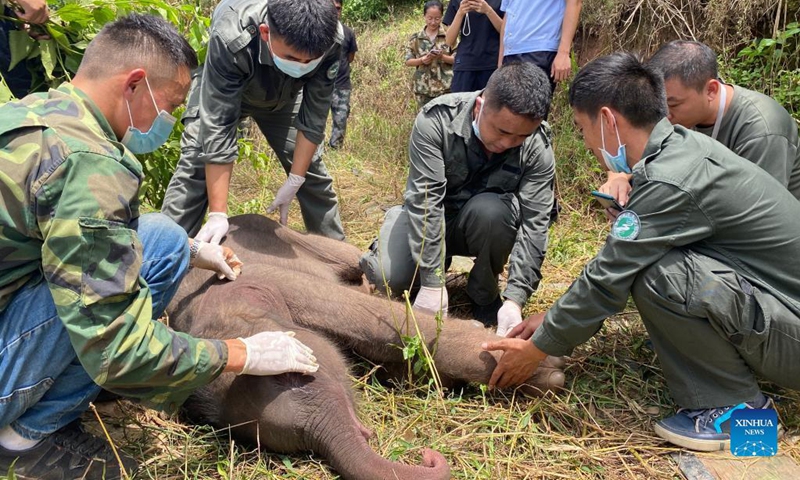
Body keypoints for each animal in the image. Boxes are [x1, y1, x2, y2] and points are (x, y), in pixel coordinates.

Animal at [165, 214, 565, 480]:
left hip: (300, 239)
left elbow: (366, 317)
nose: (427, 455)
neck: (201, 314)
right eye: (280, 444)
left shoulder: (252, 275)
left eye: (290, 378)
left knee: (358, 260)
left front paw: (543, 369)